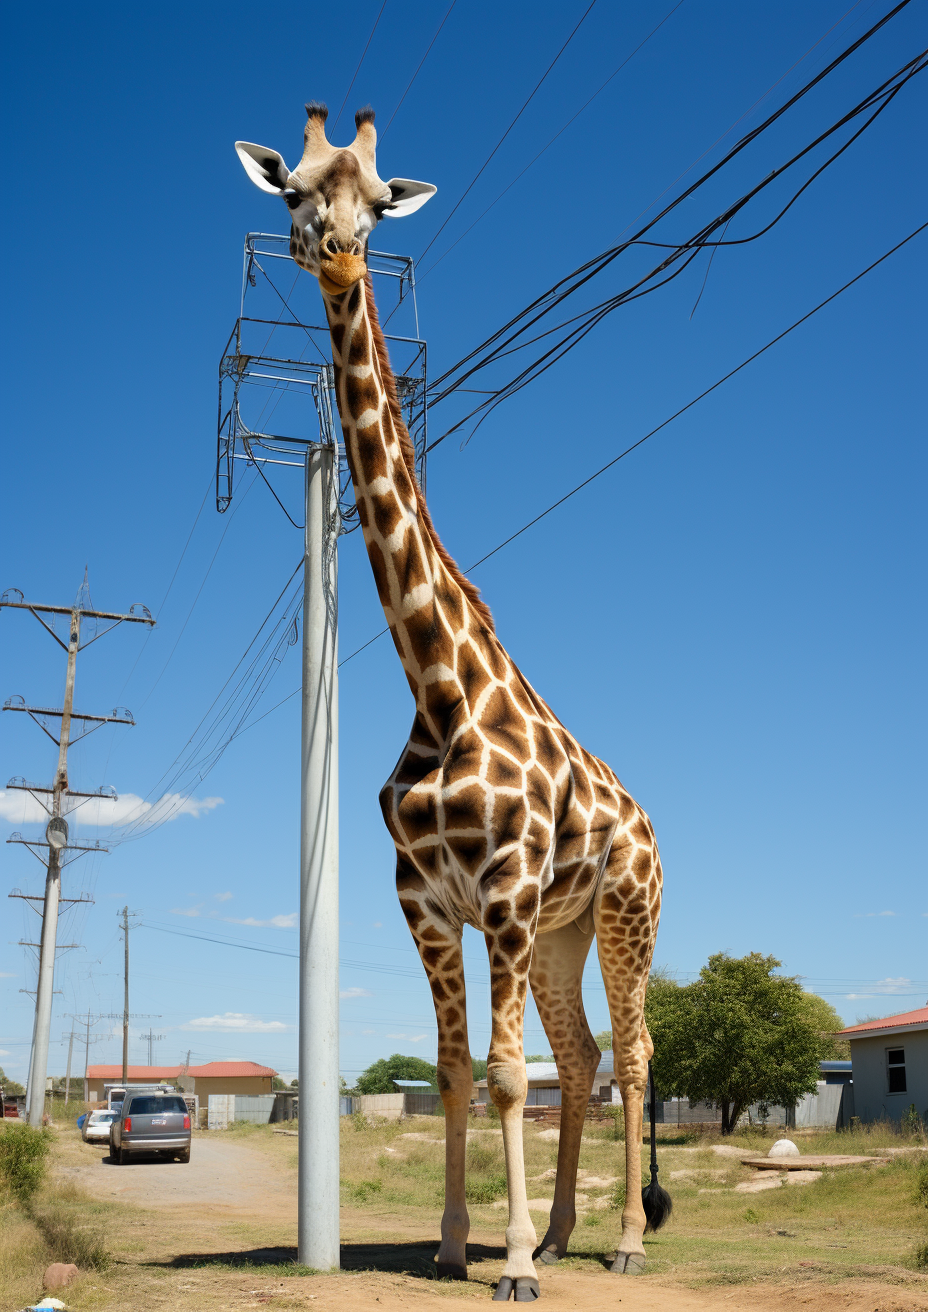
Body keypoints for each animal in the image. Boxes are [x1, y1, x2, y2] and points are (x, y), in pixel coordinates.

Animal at [236, 102, 672, 1301]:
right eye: (298, 193)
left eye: (379, 203)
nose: (340, 249)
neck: (440, 690)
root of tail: (648, 824)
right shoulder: (429, 904)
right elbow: (456, 1070)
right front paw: (451, 1244)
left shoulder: (507, 896)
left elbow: (508, 1075)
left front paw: (510, 1263)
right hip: (566, 931)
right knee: (582, 1054)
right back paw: (568, 1232)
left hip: (622, 911)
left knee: (631, 1054)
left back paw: (619, 1240)